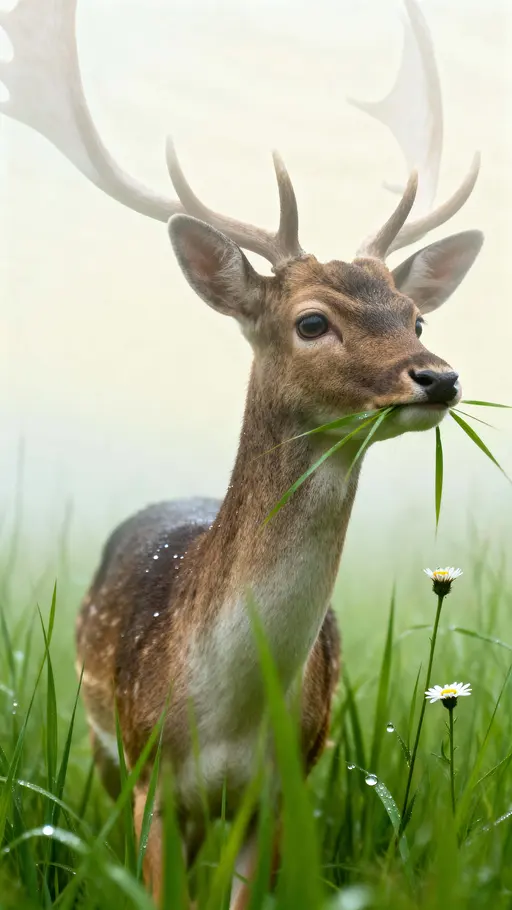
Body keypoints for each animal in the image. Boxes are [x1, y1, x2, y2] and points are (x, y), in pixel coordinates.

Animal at [1, 0, 483, 906]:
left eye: (416, 316)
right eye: (312, 320)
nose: (438, 376)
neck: (230, 719)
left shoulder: (286, 783)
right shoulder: (151, 773)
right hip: (103, 750)